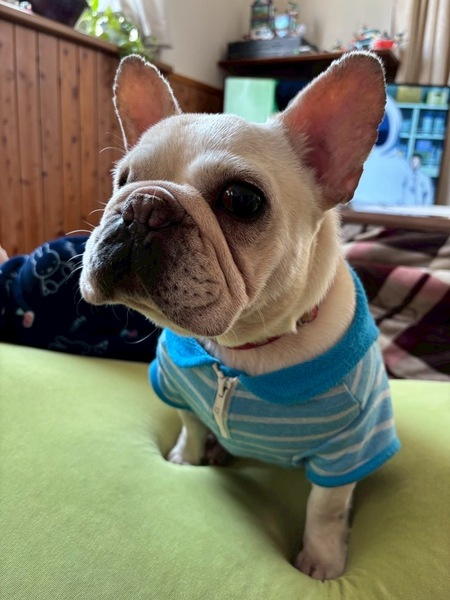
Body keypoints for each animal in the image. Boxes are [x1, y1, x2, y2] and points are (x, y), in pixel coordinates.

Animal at [80, 51, 400, 580]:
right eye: (122, 179)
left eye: (242, 200)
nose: (143, 203)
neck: (242, 348)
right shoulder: (181, 393)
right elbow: (191, 427)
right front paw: (186, 459)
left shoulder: (349, 448)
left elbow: (325, 508)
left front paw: (321, 559)